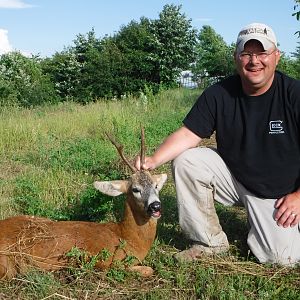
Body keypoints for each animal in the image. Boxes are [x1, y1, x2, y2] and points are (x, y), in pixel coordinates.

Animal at [0, 128, 168, 278]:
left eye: (156, 186)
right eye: (135, 189)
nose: (155, 206)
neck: (126, 237)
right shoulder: (106, 262)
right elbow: (148, 270)